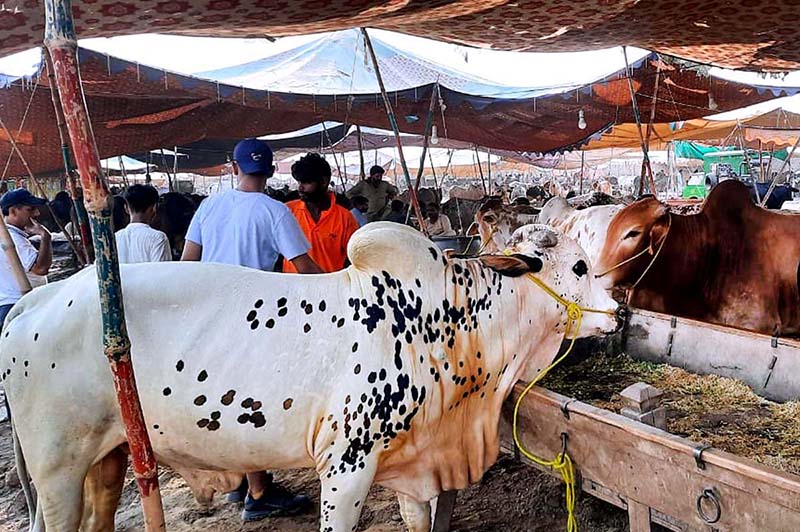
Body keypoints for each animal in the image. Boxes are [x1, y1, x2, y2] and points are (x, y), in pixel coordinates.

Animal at [1, 221, 620, 532]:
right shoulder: (347, 463)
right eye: (580, 266)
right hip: (57, 471)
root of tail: (37, 300)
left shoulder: (413, 462)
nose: (619, 311)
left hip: (106, 460)